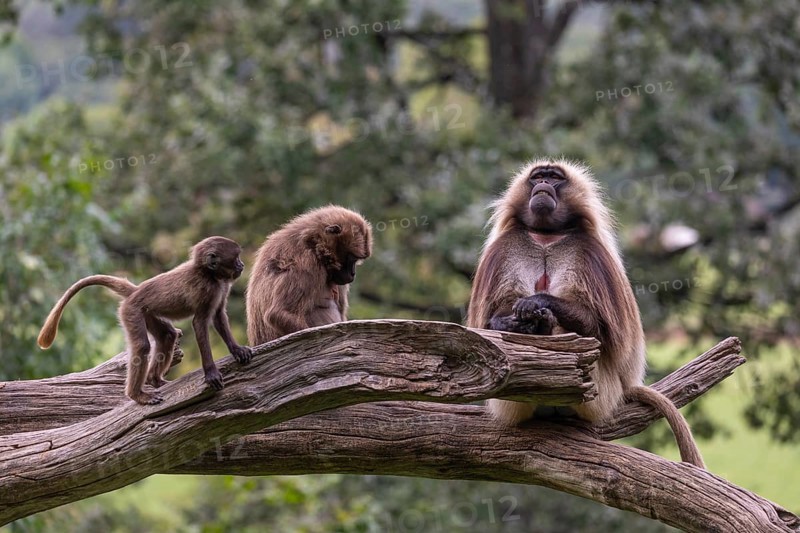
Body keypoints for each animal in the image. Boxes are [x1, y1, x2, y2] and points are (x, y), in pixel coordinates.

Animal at [38, 236, 254, 405]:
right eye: (236, 258)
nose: (242, 265)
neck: (207, 273)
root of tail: (136, 291)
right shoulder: (206, 290)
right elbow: (199, 324)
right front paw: (211, 373)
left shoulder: (221, 287)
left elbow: (218, 317)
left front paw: (237, 350)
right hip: (131, 310)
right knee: (142, 345)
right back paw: (137, 395)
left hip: (147, 312)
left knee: (167, 336)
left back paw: (154, 380)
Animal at [246, 205, 372, 346]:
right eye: (352, 259)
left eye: (356, 260)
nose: (352, 274)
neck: (313, 245)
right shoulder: (306, 264)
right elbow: (277, 314)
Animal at [467, 159, 705, 468]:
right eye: (537, 177)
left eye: (554, 177)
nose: (543, 185)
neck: (546, 237)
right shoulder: (505, 249)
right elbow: (490, 329)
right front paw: (514, 322)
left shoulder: (590, 253)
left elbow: (601, 331)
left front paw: (537, 304)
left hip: (601, 396)